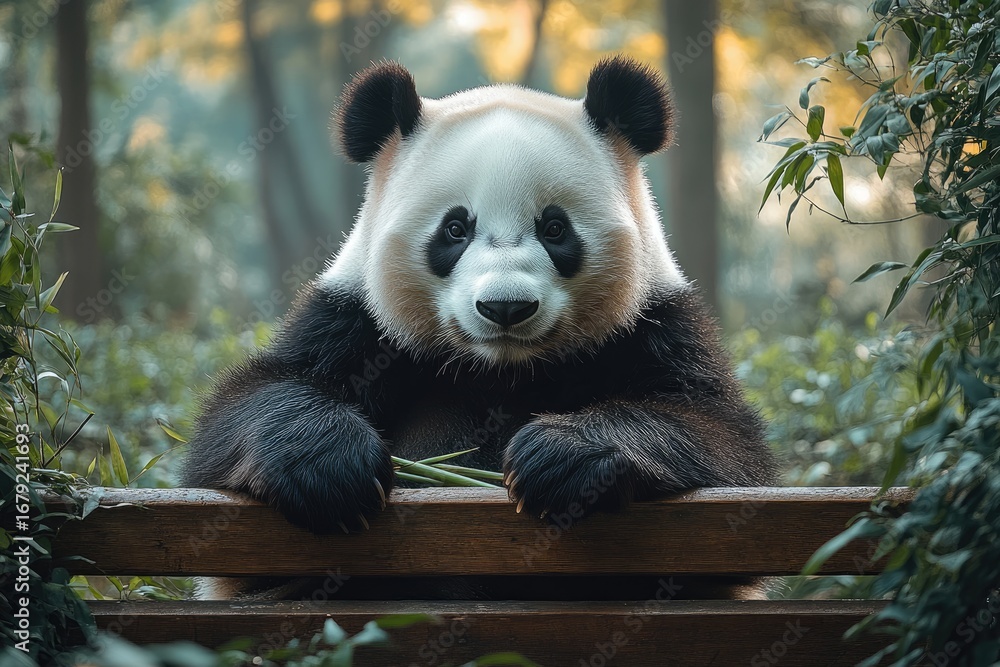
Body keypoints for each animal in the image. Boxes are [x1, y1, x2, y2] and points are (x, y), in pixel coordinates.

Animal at [182, 56, 775, 546]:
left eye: (555, 228)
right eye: (455, 229)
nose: (506, 308)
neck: (499, 369)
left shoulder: (652, 323)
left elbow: (720, 439)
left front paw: (560, 458)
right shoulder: (353, 321)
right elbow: (243, 411)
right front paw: (333, 467)